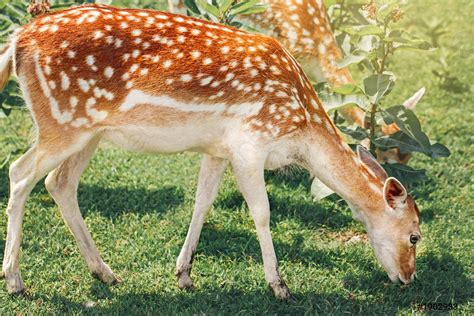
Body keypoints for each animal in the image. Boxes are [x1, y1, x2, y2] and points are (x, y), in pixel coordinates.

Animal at [0, 3, 422, 298]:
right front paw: (278, 285)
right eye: (415, 235)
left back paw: (104, 272)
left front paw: (184, 274)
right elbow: (262, 212)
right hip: (62, 122)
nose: (408, 277)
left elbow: (202, 202)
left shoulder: (217, 149)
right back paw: (15, 280)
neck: (299, 130)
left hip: (88, 131)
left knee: (59, 183)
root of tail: (18, 41)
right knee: (19, 174)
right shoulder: (250, 141)